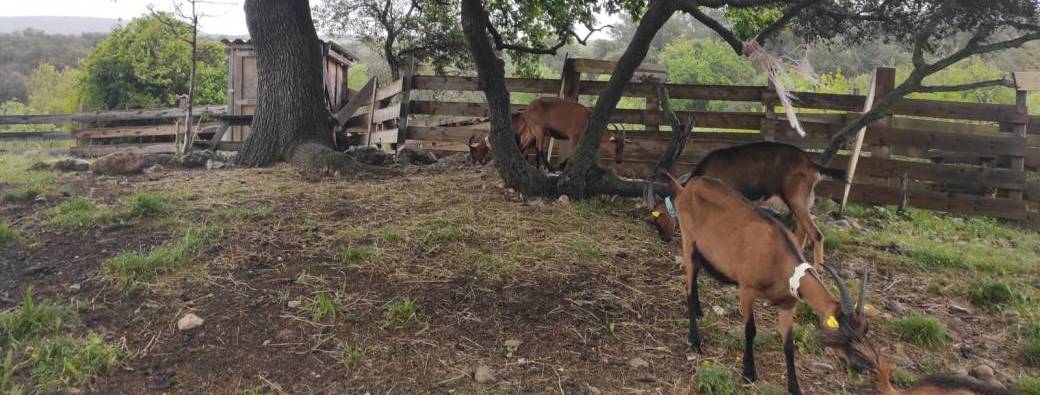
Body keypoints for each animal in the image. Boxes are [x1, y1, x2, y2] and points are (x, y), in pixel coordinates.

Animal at [644, 140, 848, 266]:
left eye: (657, 218)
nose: (665, 239)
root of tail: (812, 164)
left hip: (796, 199)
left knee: (817, 234)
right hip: (800, 201)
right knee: (803, 230)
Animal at [665, 173, 869, 395]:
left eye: (865, 332)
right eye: (846, 334)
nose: (862, 367)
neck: (778, 257)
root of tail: (685, 189)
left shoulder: (788, 304)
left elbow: (789, 344)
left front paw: (794, 387)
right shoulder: (747, 289)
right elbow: (750, 330)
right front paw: (749, 372)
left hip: (703, 251)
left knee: (695, 279)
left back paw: (700, 312)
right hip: (688, 242)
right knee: (688, 288)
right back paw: (695, 340)